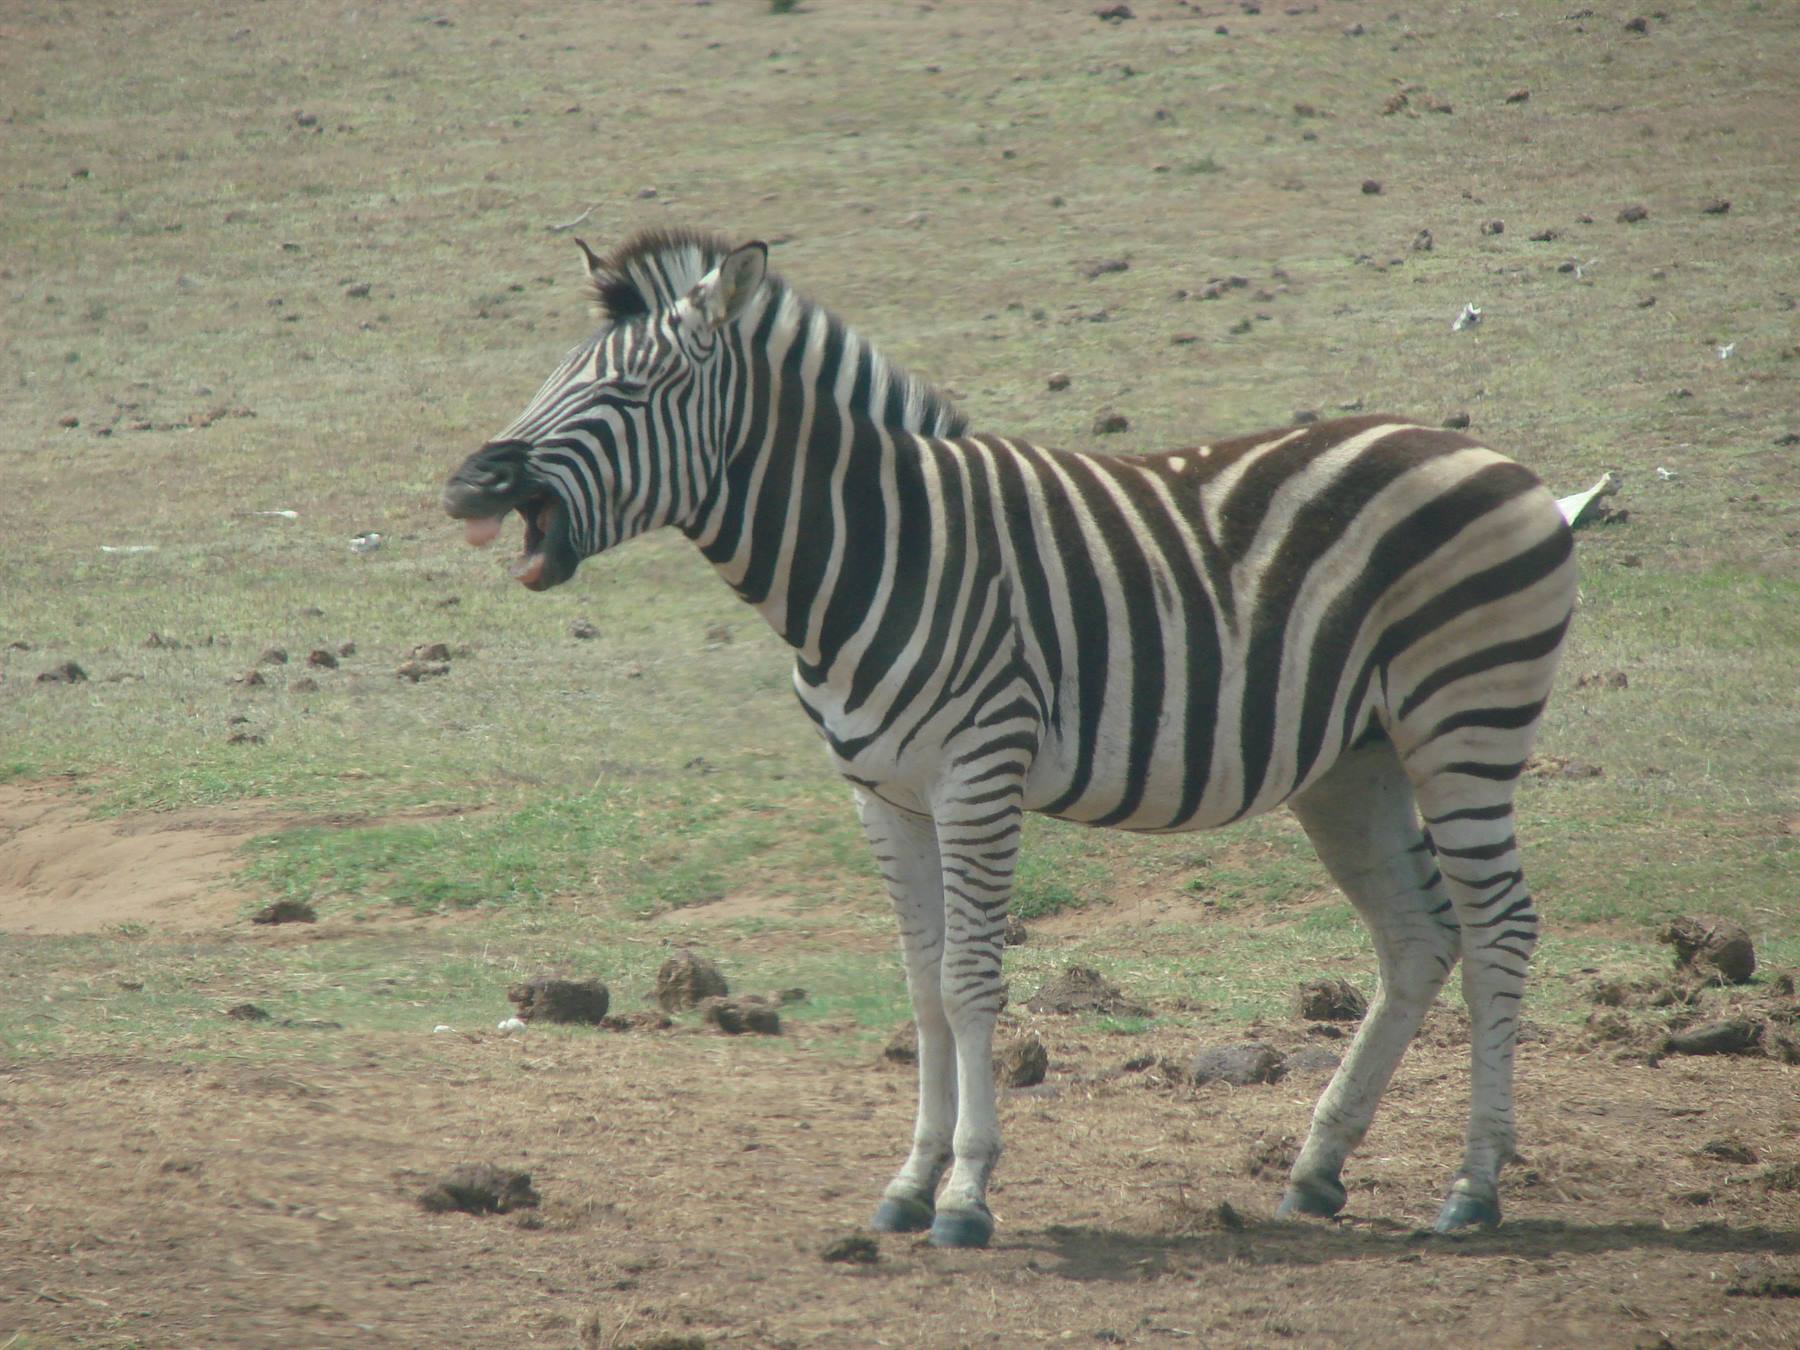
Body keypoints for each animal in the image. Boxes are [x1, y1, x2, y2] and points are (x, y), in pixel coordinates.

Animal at [443, 227, 1577, 1248]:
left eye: (632, 395)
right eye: (552, 379)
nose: (467, 485)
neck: (875, 553)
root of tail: (1496, 456)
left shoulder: (978, 774)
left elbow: (969, 982)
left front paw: (965, 1195)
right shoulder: (883, 795)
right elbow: (920, 988)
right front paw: (908, 1185)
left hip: (1461, 721)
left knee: (1499, 928)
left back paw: (1473, 1188)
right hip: (1352, 761)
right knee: (1419, 937)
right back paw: (1315, 1170)